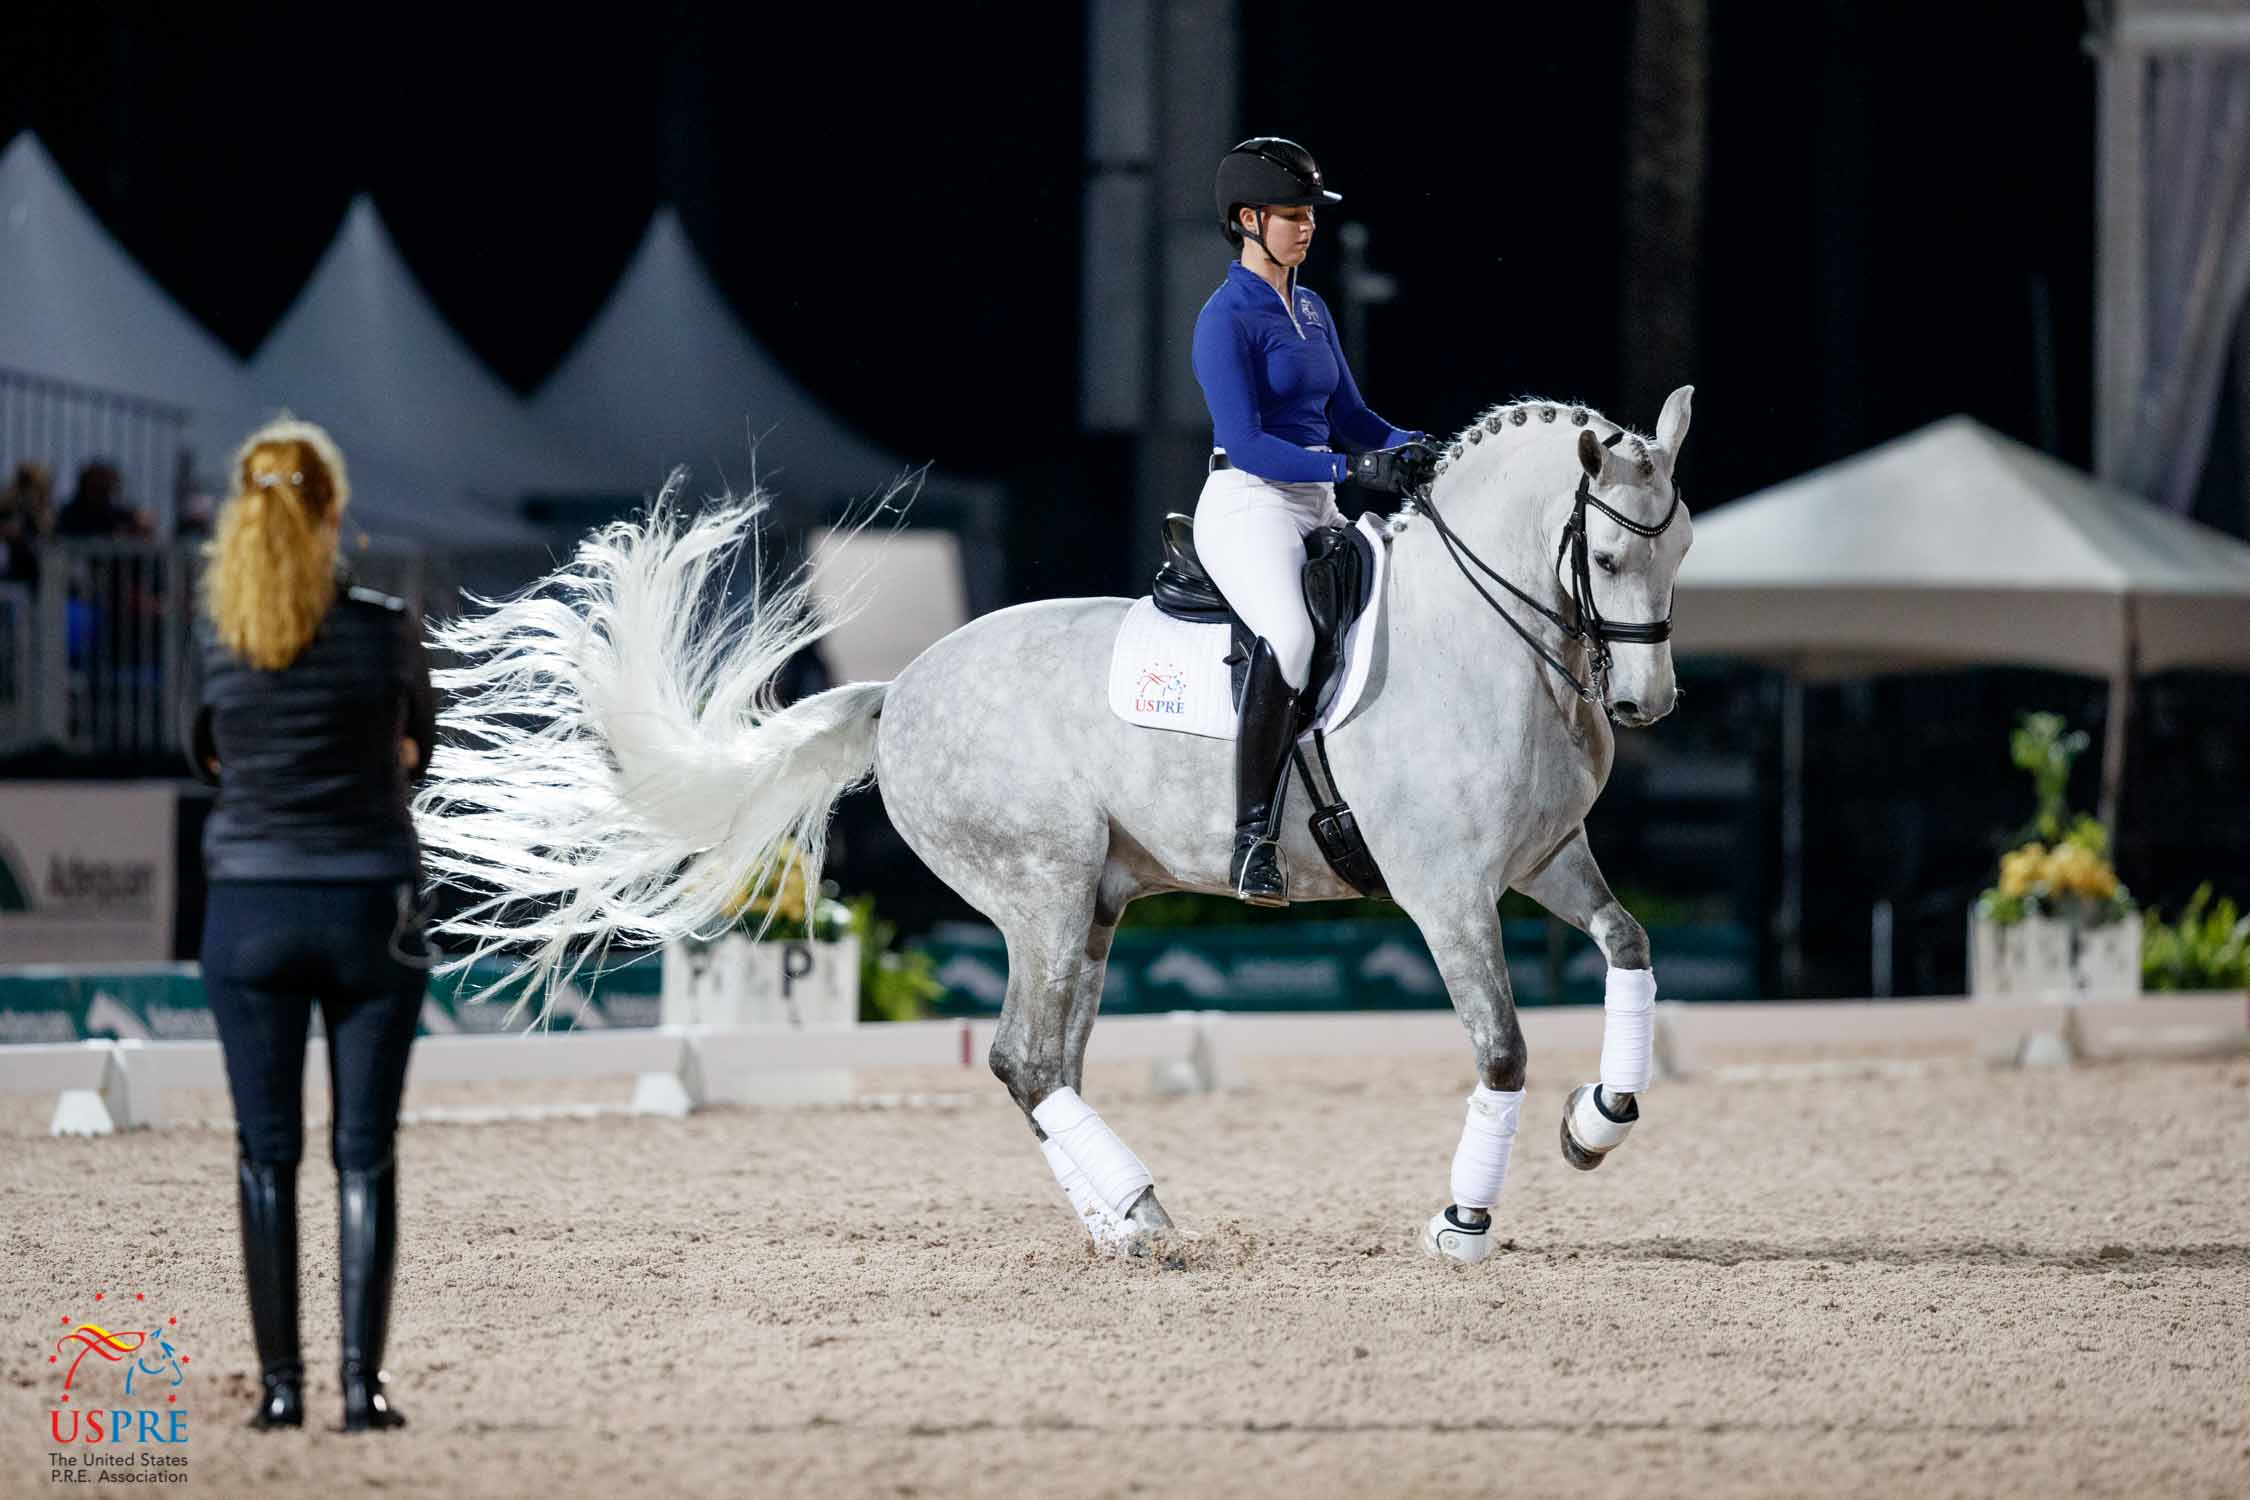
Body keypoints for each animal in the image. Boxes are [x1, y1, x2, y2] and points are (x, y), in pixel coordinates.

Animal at [414, 384, 1692, 1268]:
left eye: (1680, 546)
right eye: (1608, 552)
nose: (1645, 704)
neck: (1475, 637)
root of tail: (903, 690)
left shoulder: (1546, 862)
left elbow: (1631, 945)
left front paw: (1600, 1122)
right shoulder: (1445, 893)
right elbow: (1502, 1048)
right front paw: (1463, 1224)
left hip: (1091, 907)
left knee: (1046, 1066)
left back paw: (1119, 1224)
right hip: (1041, 888)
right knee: (1025, 1059)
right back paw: (1143, 1212)